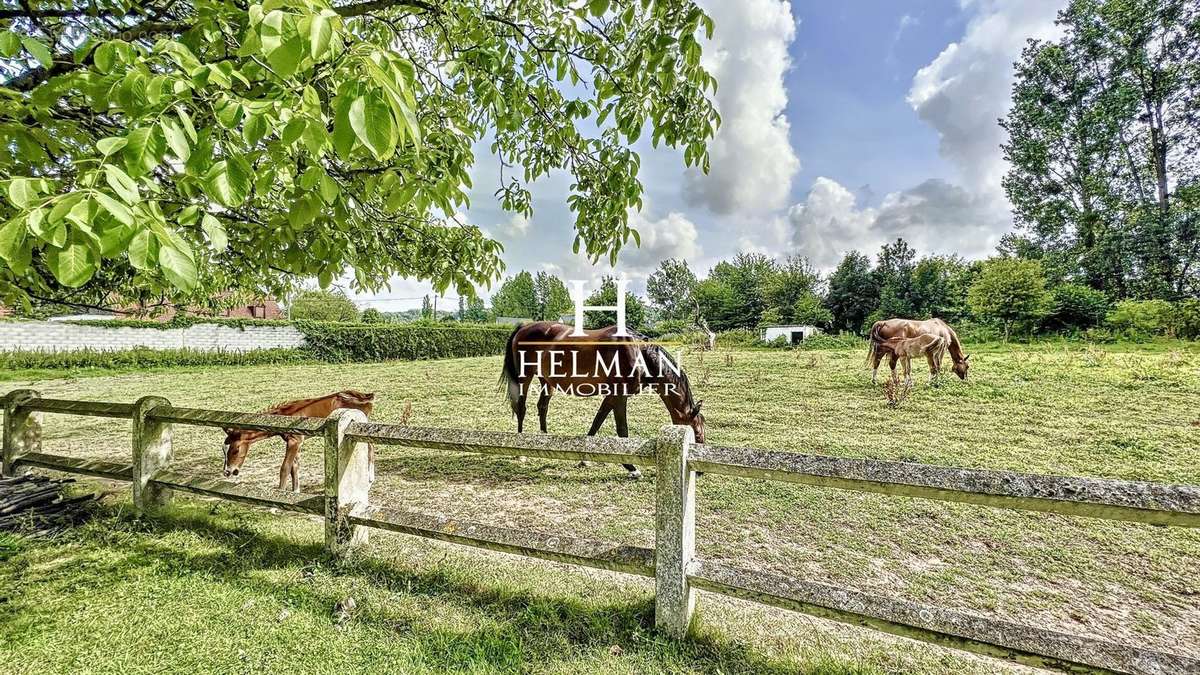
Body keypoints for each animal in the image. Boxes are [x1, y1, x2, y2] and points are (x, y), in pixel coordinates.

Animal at [220, 389, 376, 487]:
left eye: (235, 450)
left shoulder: (294, 441)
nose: (227, 471)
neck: (285, 417)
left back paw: (370, 477)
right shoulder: (296, 443)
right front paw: (295, 492)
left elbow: (285, 468)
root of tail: (363, 396)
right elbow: (294, 467)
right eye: (224, 450)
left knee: (370, 445)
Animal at [496, 317, 700, 475]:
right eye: (696, 433)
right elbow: (622, 430)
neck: (638, 353)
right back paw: (521, 451)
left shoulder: (611, 396)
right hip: (524, 377)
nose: (699, 472)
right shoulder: (619, 396)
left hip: (547, 381)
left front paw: (584, 458)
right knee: (521, 408)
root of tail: (524, 326)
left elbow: (597, 421)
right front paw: (631, 467)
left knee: (542, 406)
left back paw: (544, 441)